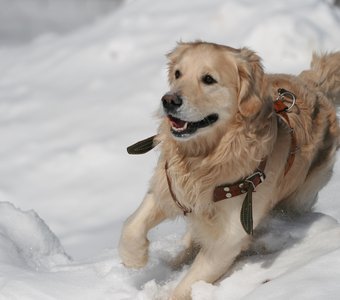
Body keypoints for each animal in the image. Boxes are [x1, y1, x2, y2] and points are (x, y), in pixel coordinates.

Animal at [119, 42, 340, 300]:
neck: (209, 158)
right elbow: (132, 225)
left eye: (208, 79)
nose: (169, 100)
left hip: (300, 196)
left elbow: (188, 283)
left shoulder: (230, 236)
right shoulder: (171, 186)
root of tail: (313, 84)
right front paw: (134, 258)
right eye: (178, 74)